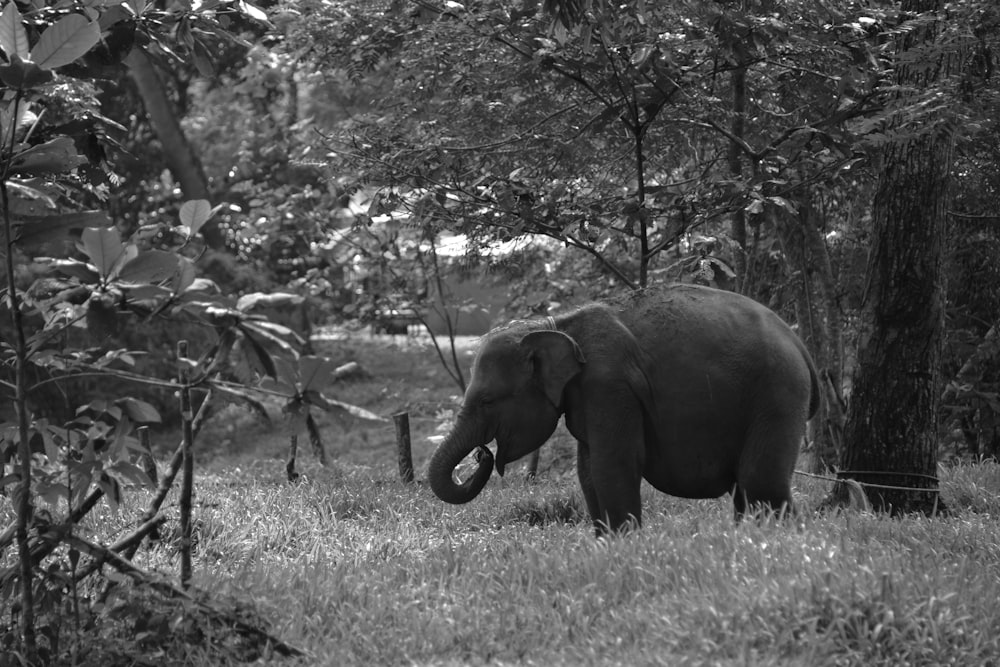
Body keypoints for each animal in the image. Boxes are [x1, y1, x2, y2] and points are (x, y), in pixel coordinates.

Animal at [426, 284, 816, 536]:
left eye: (487, 400)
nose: (482, 453)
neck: (557, 325)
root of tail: (799, 343)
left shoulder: (610, 386)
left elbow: (611, 464)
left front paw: (625, 544)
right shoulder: (586, 396)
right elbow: (587, 470)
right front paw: (606, 544)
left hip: (779, 391)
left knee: (760, 481)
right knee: (747, 487)